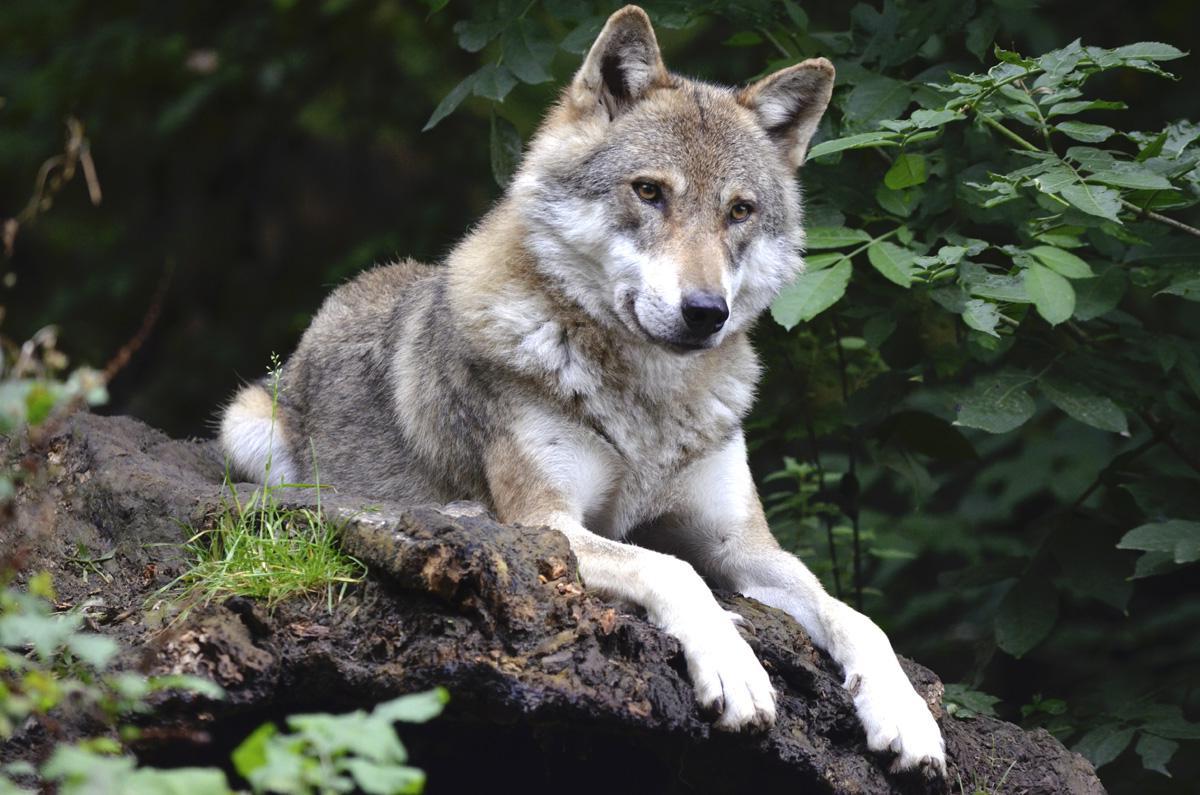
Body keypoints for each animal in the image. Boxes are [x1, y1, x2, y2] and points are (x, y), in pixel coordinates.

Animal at [219, 5, 945, 775]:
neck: (650, 404)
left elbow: (855, 615)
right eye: (650, 191)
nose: (706, 311)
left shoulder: (744, 545)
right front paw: (735, 667)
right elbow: (673, 569)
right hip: (248, 429)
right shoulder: (551, 523)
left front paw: (906, 714)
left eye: (740, 211)